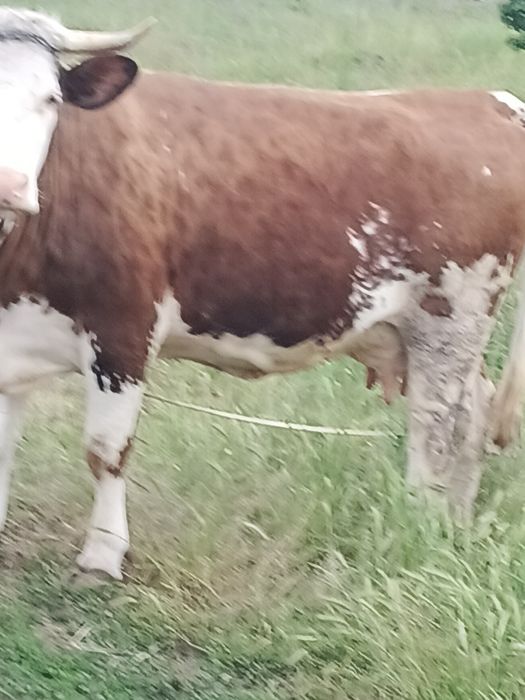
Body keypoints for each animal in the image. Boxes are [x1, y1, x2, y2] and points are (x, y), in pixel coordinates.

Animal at [0, 8, 523, 581]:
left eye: (51, 98)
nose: (9, 185)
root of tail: (486, 101)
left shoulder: (123, 329)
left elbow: (106, 450)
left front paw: (101, 557)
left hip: (452, 315)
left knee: (440, 426)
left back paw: (422, 525)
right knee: (475, 414)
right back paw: (457, 522)